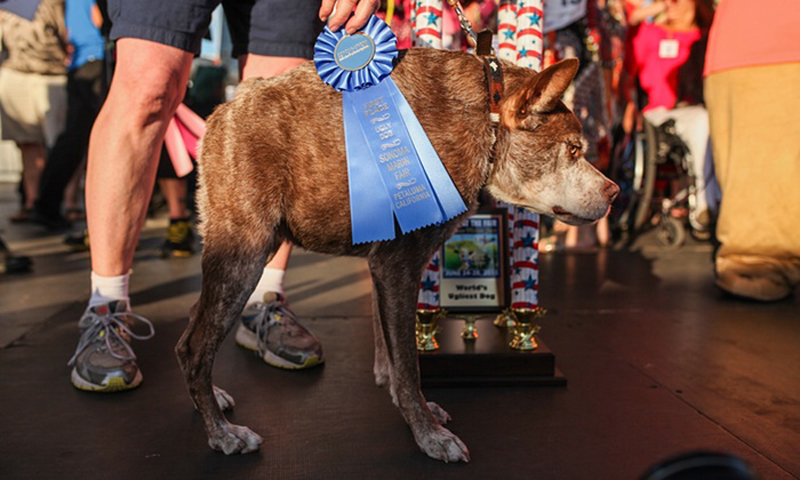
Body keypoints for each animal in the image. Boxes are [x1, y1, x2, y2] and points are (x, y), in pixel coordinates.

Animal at [178, 47, 620, 462]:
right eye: (573, 149)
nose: (615, 191)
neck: (485, 117)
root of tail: (221, 113)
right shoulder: (398, 265)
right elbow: (408, 365)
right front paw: (428, 435)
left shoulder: (383, 269)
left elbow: (390, 356)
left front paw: (412, 409)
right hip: (245, 253)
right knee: (196, 346)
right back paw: (222, 433)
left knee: (190, 330)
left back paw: (213, 398)